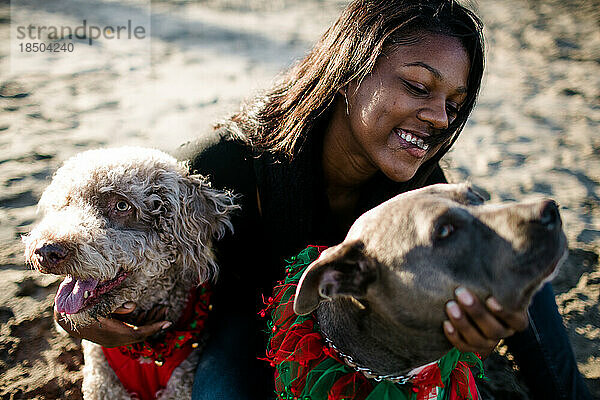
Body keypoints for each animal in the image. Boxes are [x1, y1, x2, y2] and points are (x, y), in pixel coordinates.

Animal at [21, 148, 237, 400]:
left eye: (122, 206)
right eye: (67, 202)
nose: (46, 250)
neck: (145, 353)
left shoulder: (180, 383)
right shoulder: (103, 384)